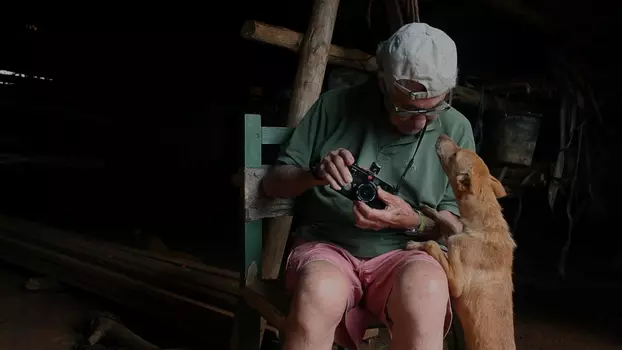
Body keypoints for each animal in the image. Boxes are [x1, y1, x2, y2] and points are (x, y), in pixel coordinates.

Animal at [410, 134, 516, 350]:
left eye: (455, 154)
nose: (441, 135)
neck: (485, 226)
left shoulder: (457, 284)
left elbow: (434, 245)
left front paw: (415, 245)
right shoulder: (457, 231)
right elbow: (448, 224)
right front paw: (429, 211)